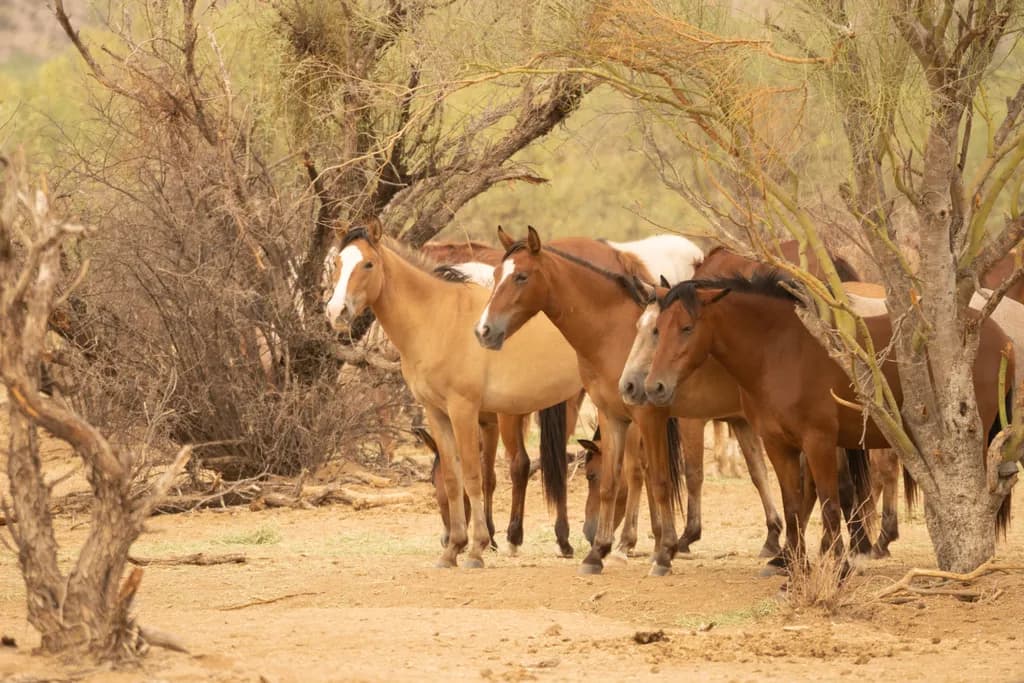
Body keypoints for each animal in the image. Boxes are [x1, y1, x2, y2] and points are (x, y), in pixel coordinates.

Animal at [324, 220, 585, 567]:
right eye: (338, 264)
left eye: (368, 264)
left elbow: (474, 476)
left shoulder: (465, 411)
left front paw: (476, 548)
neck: (438, 319)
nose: (336, 312)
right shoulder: (437, 413)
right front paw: (453, 550)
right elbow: (454, 477)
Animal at [643, 271, 1013, 573]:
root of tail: (997, 335)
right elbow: (793, 505)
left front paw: (837, 567)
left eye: (687, 328)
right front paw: (793, 567)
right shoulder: (778, 445)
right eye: (657, 330)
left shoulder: (818, 442)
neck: (781, 351)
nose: (654, 387)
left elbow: (831, 505)